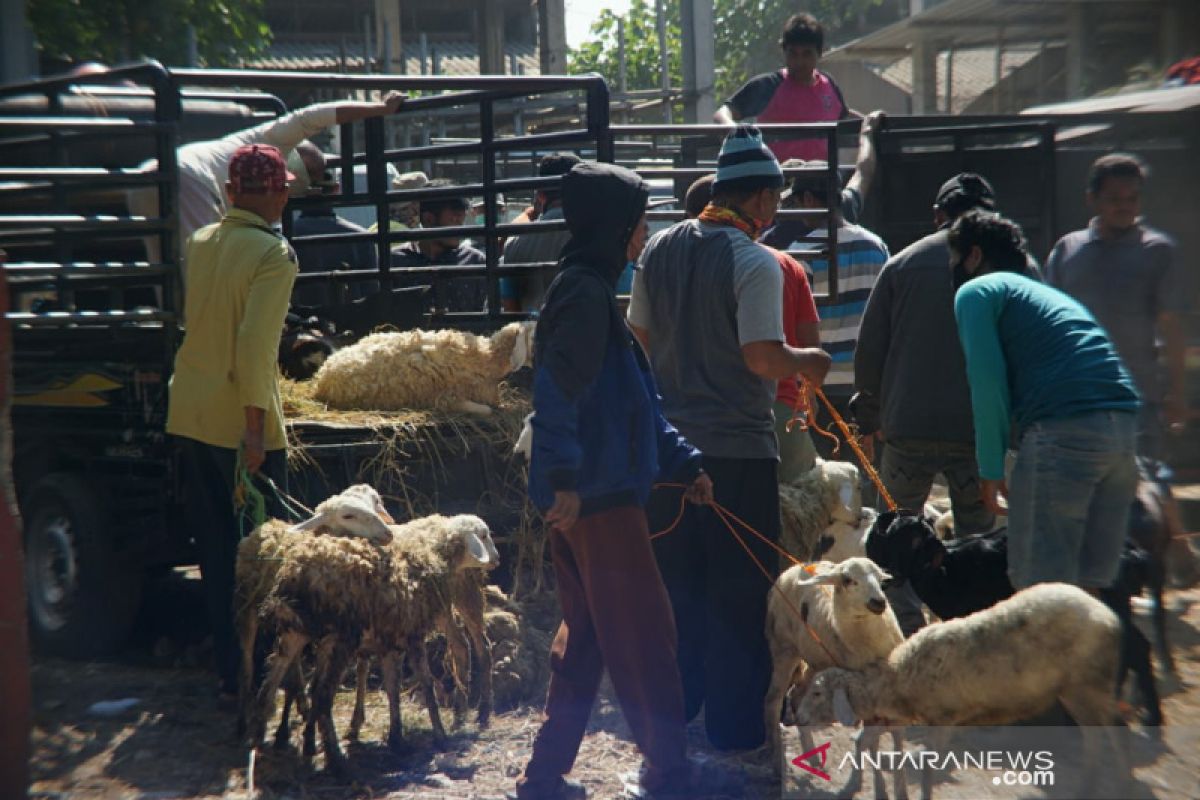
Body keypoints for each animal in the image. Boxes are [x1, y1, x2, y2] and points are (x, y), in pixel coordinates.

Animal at [792, 582, 1128, 800]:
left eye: (818, 694)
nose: (797, 717)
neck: (900, 676)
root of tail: (1108, 615)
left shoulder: (941, 717)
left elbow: (928, 771)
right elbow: (871, 740)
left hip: (1089, 684)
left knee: (1107, 737)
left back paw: (1112, 783)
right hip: (1078, 690)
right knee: (1099, 737)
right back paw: (1092, 784)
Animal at [873, 510, 1161, 729]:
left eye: (897, 538)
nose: (886, 576)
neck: (946, 567)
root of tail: (1133, 554)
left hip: (1110, 603)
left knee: (1131, 647)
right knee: (1139, 645)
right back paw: (1149, 715)